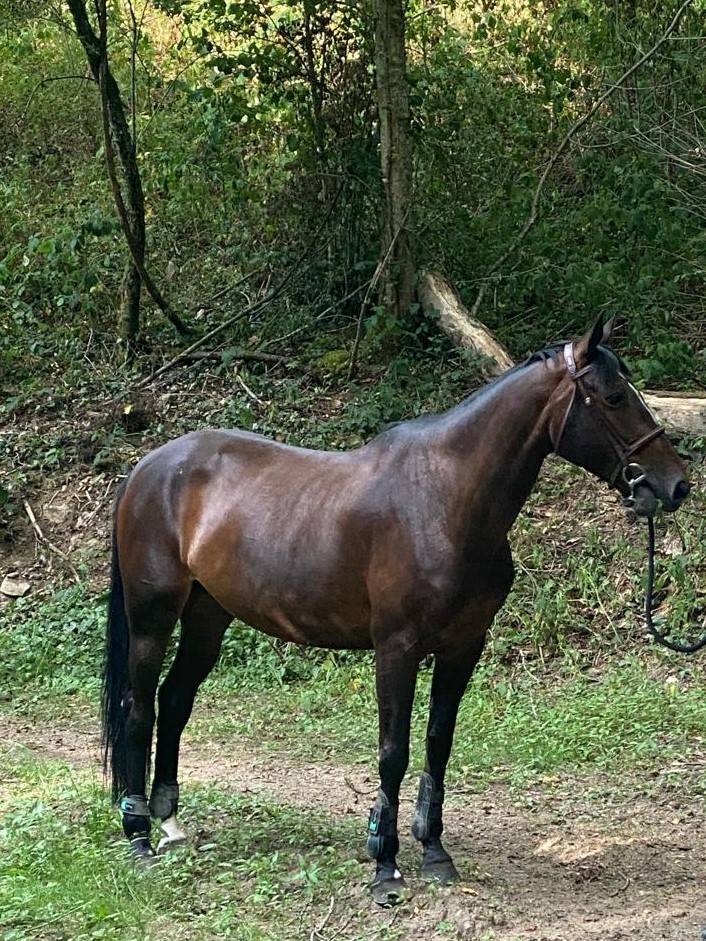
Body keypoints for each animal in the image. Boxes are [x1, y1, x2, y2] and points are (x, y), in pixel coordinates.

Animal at [102, 315, 690, 905]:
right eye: (614, 397)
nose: (676, 484)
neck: (443, 501)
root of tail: (145, 470)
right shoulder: (396, 648)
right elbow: (394, 750)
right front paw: (385, 863)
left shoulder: (463, 647)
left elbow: (438, 742)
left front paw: (433, 851)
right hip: (153, 619)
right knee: (139, 707)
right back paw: (138, 836)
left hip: (208, 616)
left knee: (175, 700)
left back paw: (170, 823)